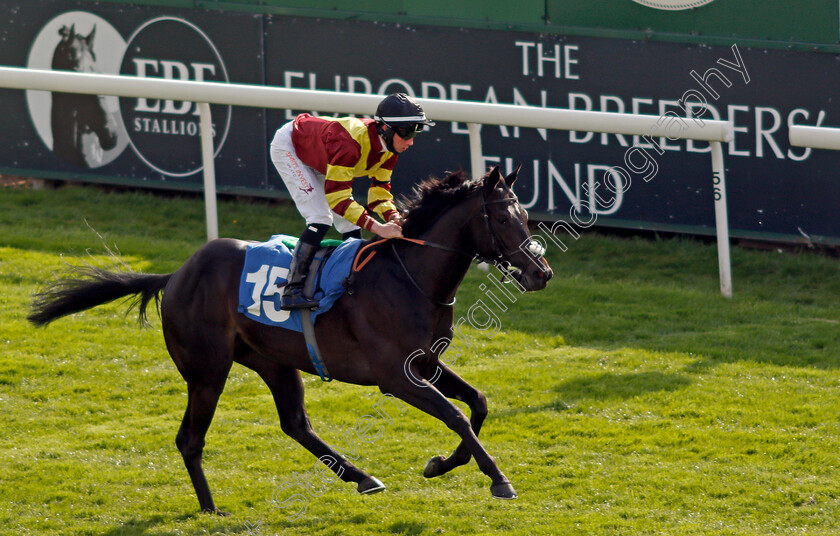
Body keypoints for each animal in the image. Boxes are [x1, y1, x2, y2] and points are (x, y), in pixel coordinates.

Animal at [27, 166, 552, 516]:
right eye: (504, 218)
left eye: (526, 214)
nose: (541, 273)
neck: (410, 278)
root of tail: (175, 274)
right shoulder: (396, 377)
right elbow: (456, 415)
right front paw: (498, 479)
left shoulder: (425, 363)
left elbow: (477, 403)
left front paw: (444, 463)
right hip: (207, 370)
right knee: (190, 438)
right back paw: (211, 508)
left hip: (275, 362)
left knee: (295, 424)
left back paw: (363, 478)